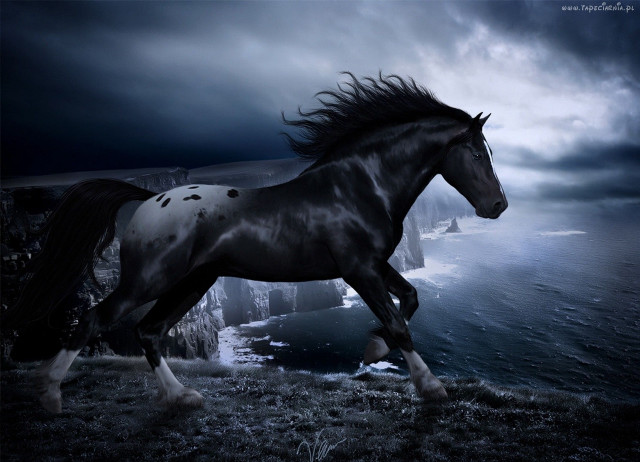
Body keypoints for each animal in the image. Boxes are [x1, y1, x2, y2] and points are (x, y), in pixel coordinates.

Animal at [4, 73, 507, 413]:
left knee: (148, 331)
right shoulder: (358, 270)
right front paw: (430, 386)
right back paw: (49, 394)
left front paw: (374, 349)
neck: (360, 185)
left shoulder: (375, 264)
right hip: (149, 279)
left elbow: (412, 297)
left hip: (194, 282)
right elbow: (400, 323)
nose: (498, 206)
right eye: (476, 152)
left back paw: (182, 396)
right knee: (95, 318)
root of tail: (150, 198)